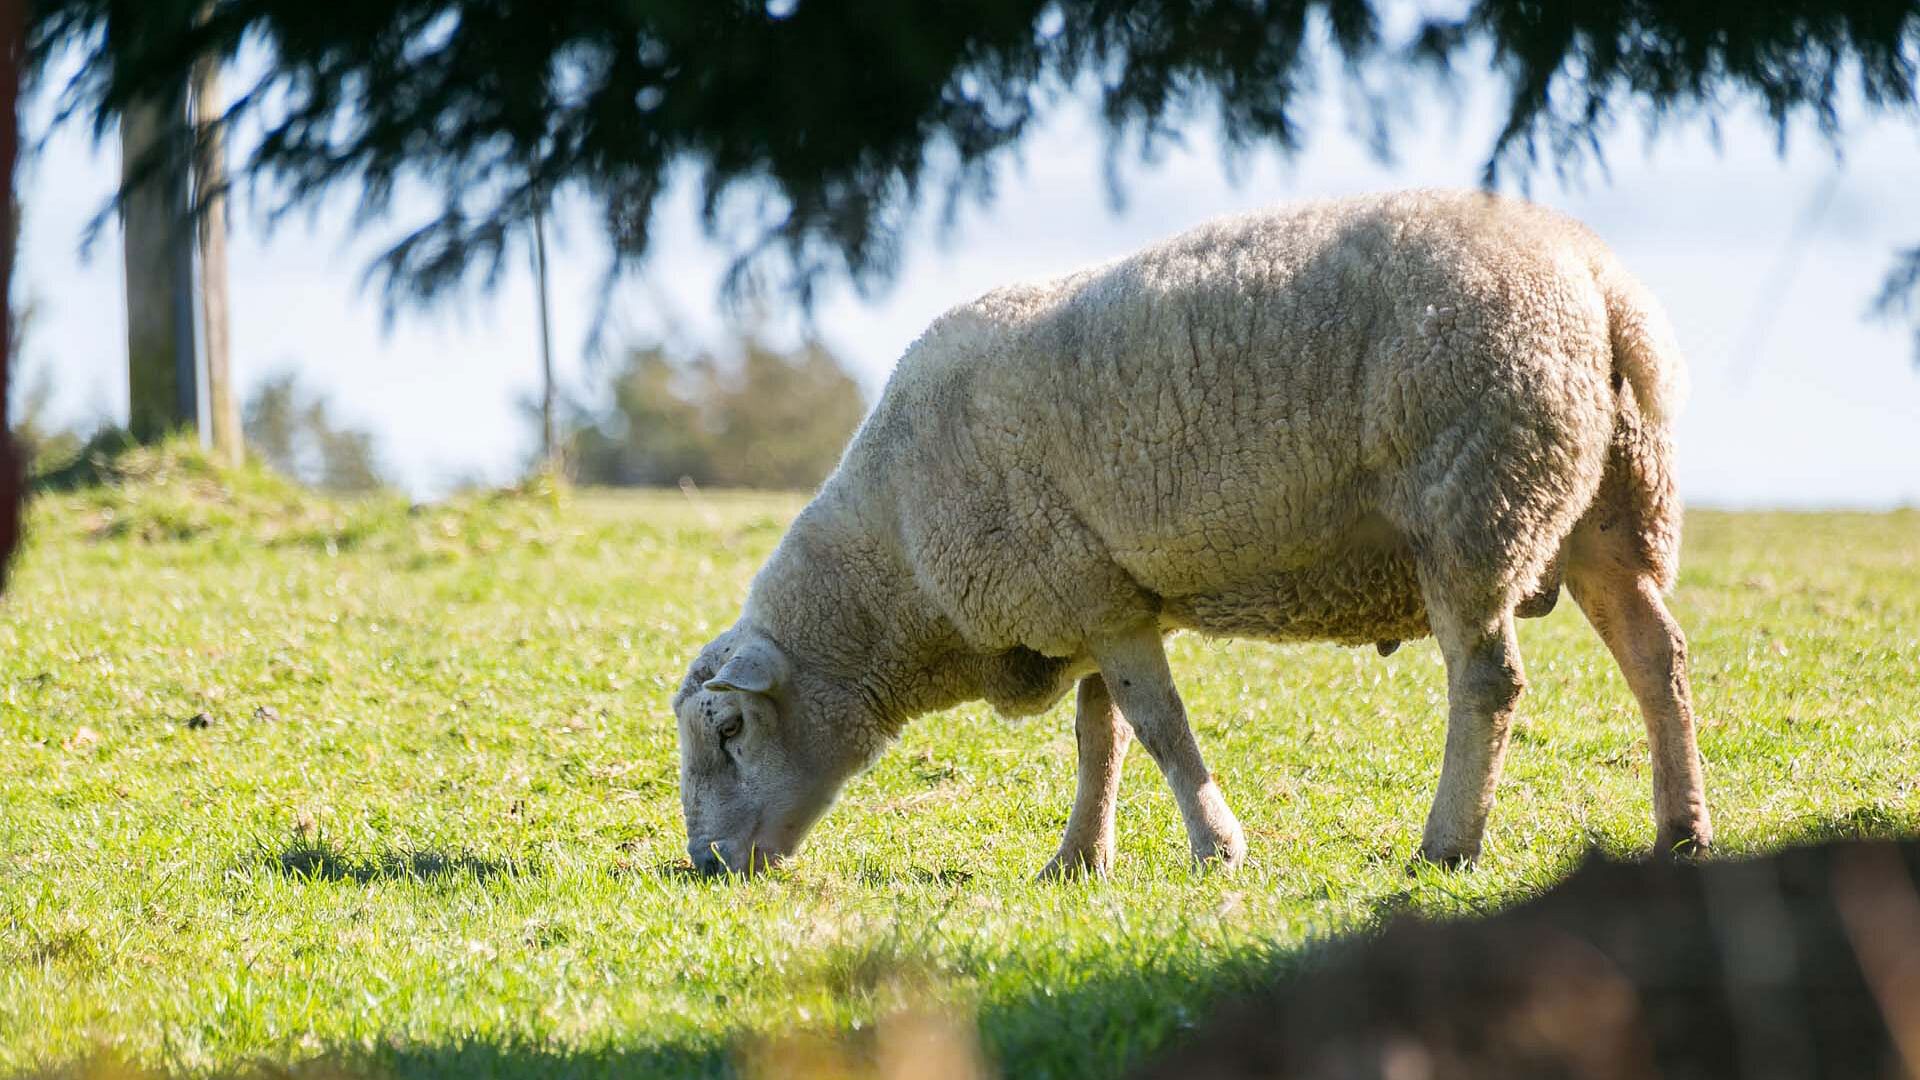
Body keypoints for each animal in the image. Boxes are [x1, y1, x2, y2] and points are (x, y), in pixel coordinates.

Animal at [672, 184, 1712, 876]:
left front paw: (1217, 846)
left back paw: (1447, 844)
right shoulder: (1096, 594)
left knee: (1489, 682)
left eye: (728, 729)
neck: (896, 577)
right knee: (1655, 658)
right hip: (1610, 503)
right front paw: (1078, 860)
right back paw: (1682, 828)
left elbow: (1158, 728)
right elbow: (1101, 735)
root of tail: (1601, 284)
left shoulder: (1088, 595)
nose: (710, 866)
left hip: (1476, 494)